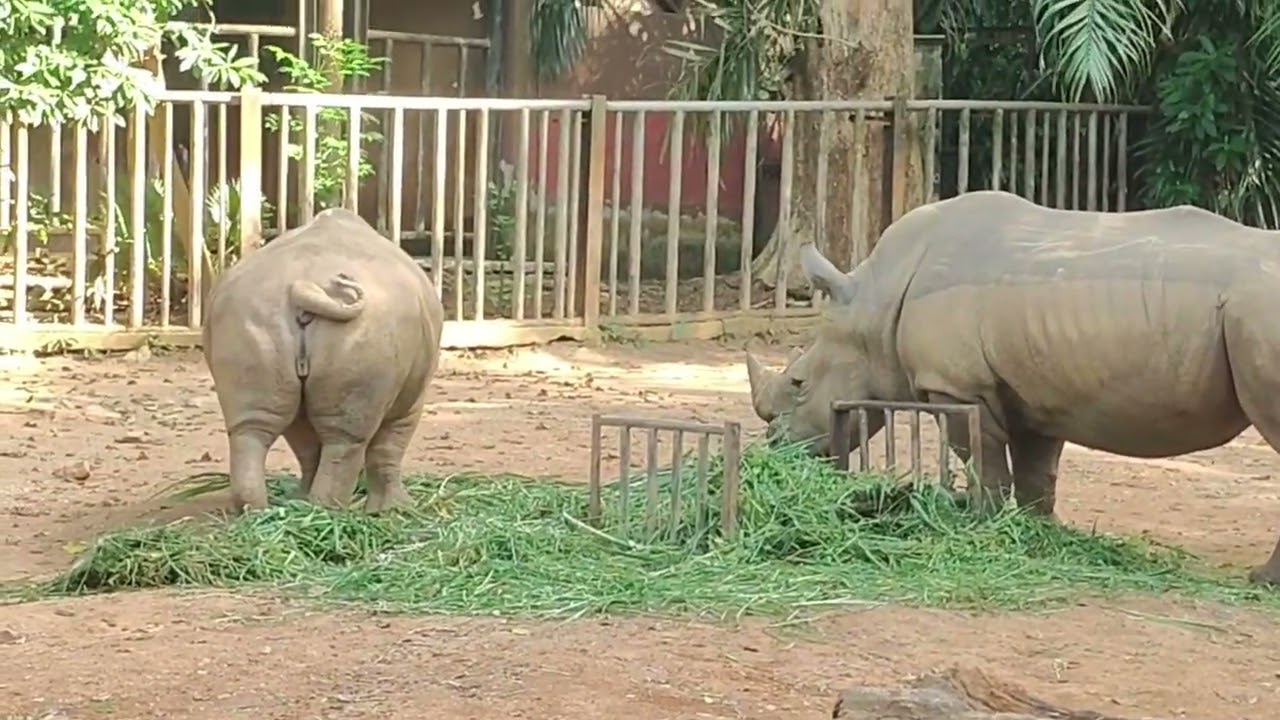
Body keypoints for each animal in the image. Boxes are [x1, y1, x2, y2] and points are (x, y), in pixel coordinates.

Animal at [203, 207, 445, 514]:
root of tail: (304, 288)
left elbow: (308, 442)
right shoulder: (412, 399)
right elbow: (389, 447)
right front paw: (394, 511)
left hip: (248, 313)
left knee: (256, 425)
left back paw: (267, 512)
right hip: (368, 327)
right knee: (347, 436)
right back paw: (330, 512)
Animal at [746, 190, 1280, 586]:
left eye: (798, 384)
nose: (775, 448)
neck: (874, 307)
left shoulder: (957, 388)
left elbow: (981, 459)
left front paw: (980, 526)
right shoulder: (1036, 392)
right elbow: (1036, 470)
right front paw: (1035, 533)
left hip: (1256, 313)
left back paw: (1261, 582)